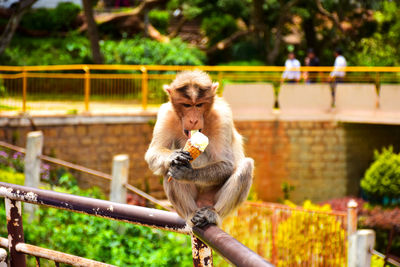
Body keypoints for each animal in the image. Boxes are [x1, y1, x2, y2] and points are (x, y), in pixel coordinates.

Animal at [145, 69, 255, 228]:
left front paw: (188, 173)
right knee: (167, 169)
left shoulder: (222, 117)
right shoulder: (166, 115)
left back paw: (212, 214)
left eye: (199, 104)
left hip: (212, 199)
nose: (193, 120)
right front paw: (174, 157)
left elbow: (226, 164)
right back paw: (190, 213)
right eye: (186, 105)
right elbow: (154, 151)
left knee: (246, 166)